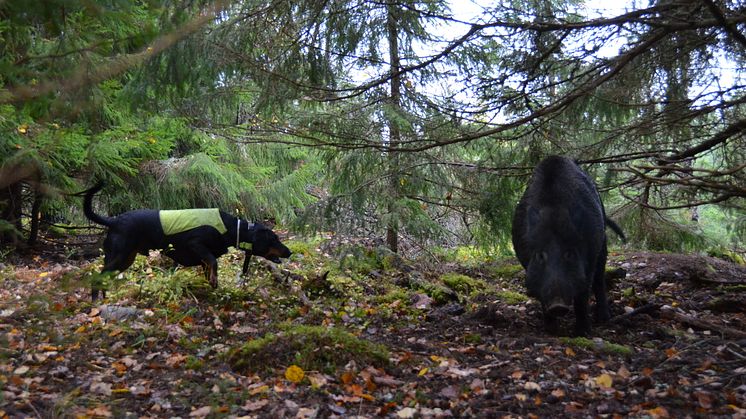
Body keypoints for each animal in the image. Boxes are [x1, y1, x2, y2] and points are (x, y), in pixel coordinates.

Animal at [82, 182, 290, 300]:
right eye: (275, 239)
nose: (290, 252)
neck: (232, 227)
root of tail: (114, 221)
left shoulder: (204, 260)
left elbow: (209, 270)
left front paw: (212, 288)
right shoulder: (196, 245)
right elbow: (213, 262)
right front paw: (214, 283)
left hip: (126, 258)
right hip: (120, 255)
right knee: (97, 276)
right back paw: (96, 303)